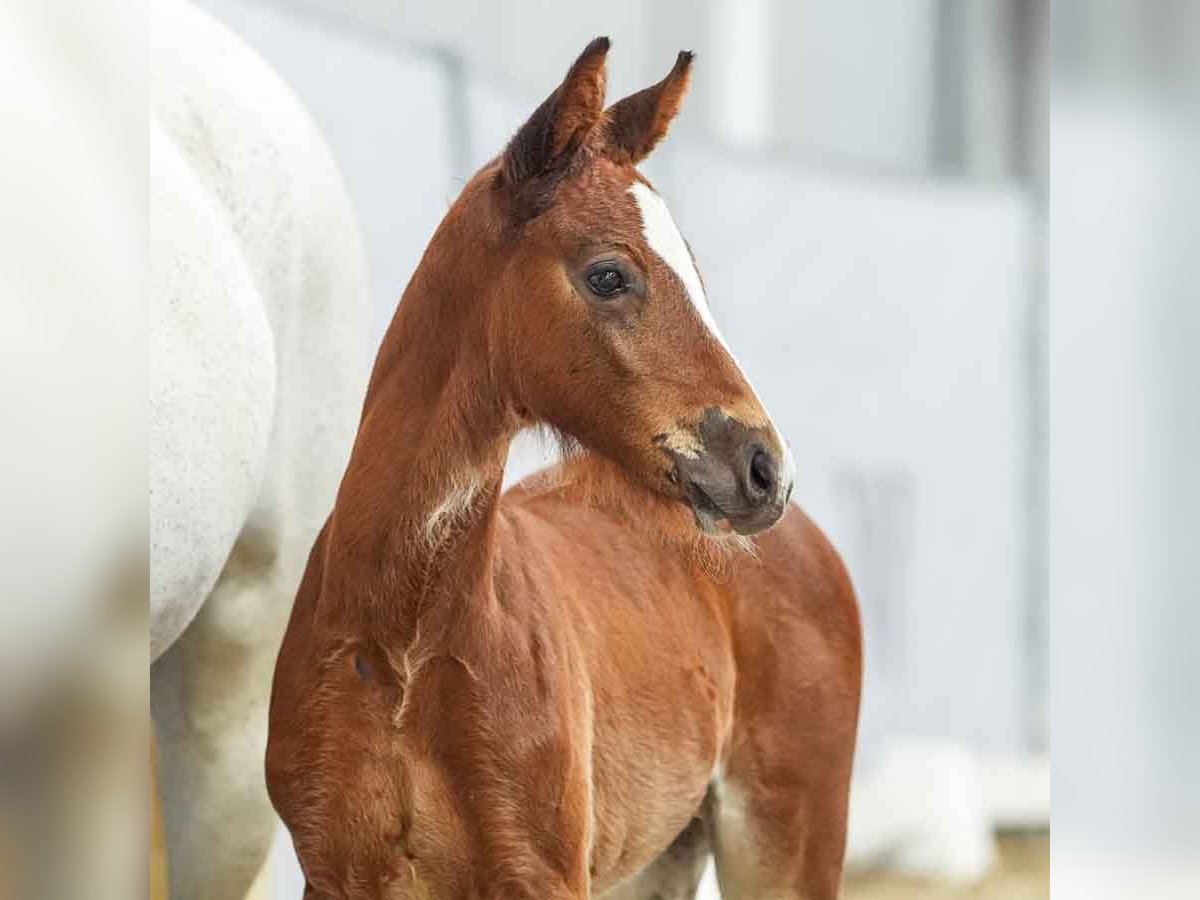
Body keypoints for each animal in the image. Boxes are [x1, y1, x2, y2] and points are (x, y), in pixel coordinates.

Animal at [266, 40, 859, 900]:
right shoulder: (335, 872)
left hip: (786, 840)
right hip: (659, 855)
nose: (764, 468)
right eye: (608, 274)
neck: (406, 639)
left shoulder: (541, 874)